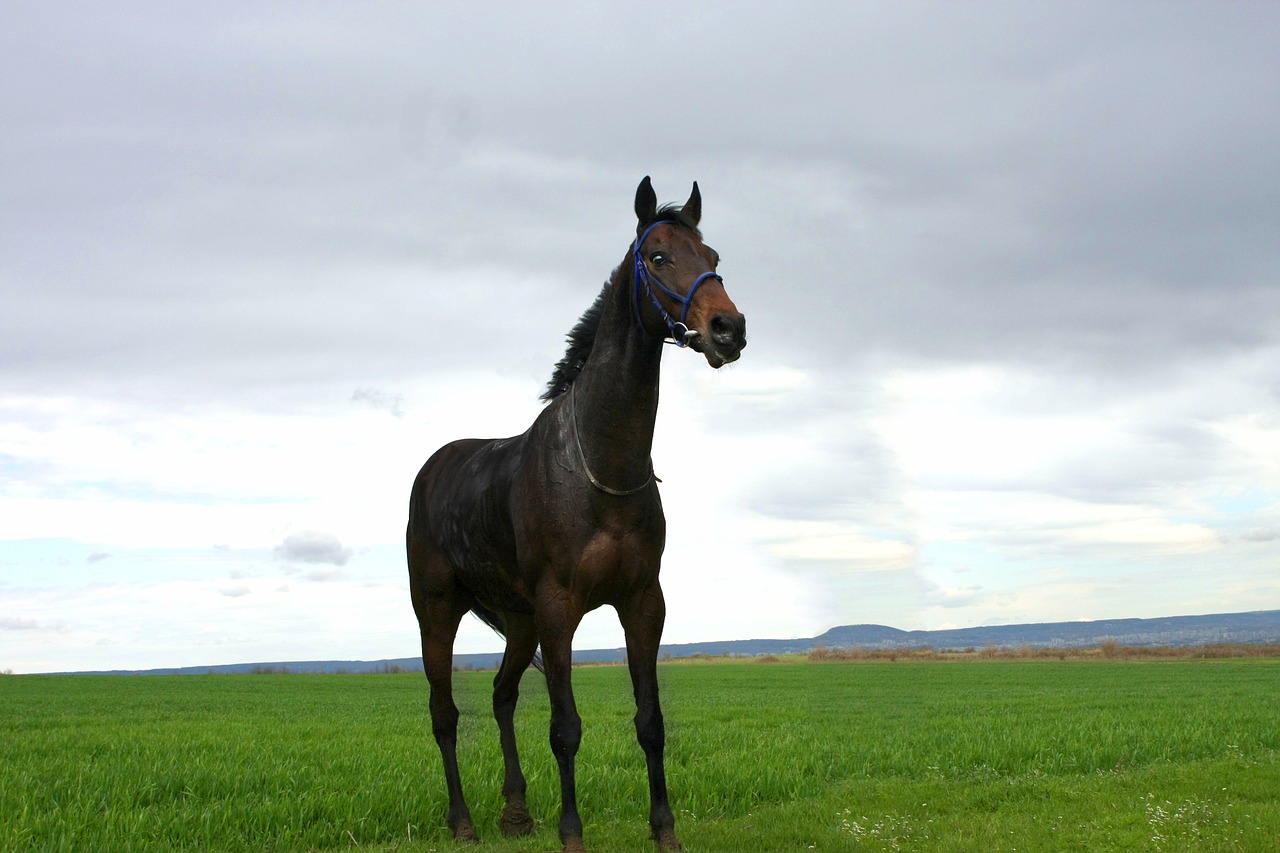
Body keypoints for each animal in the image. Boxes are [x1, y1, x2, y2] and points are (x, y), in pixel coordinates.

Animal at [409, 175, 747, 845]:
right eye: (658, 256)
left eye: (714, 256)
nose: (729, 327)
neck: (600, 464)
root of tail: (430, 470)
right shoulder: (558, 607)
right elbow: (565, 728)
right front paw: (572, 833)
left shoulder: (642, 602)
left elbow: (650, 722)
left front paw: (664, 831)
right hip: (438, 611)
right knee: (445, 713)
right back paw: (463, 822)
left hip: (518, 621)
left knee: (502, 695)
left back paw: (516, 813)